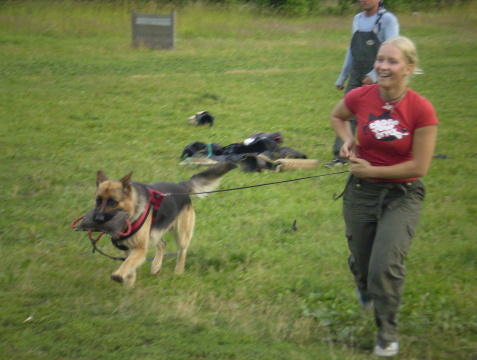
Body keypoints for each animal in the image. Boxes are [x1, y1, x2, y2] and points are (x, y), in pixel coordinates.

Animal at [94, 162, 235, 286]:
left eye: (112, 202)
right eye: (98, 200)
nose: (97, 219)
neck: (132, 210)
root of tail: (181, 187)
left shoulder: (139, 248)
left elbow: (128, 263)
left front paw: (119, 275)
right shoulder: (128, 247)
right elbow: (130, 266)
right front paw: (129, 283)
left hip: (181, 235)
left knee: (182, 251)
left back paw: (178, 272)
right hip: (154, 233)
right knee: (163, 244)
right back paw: (156, 266)